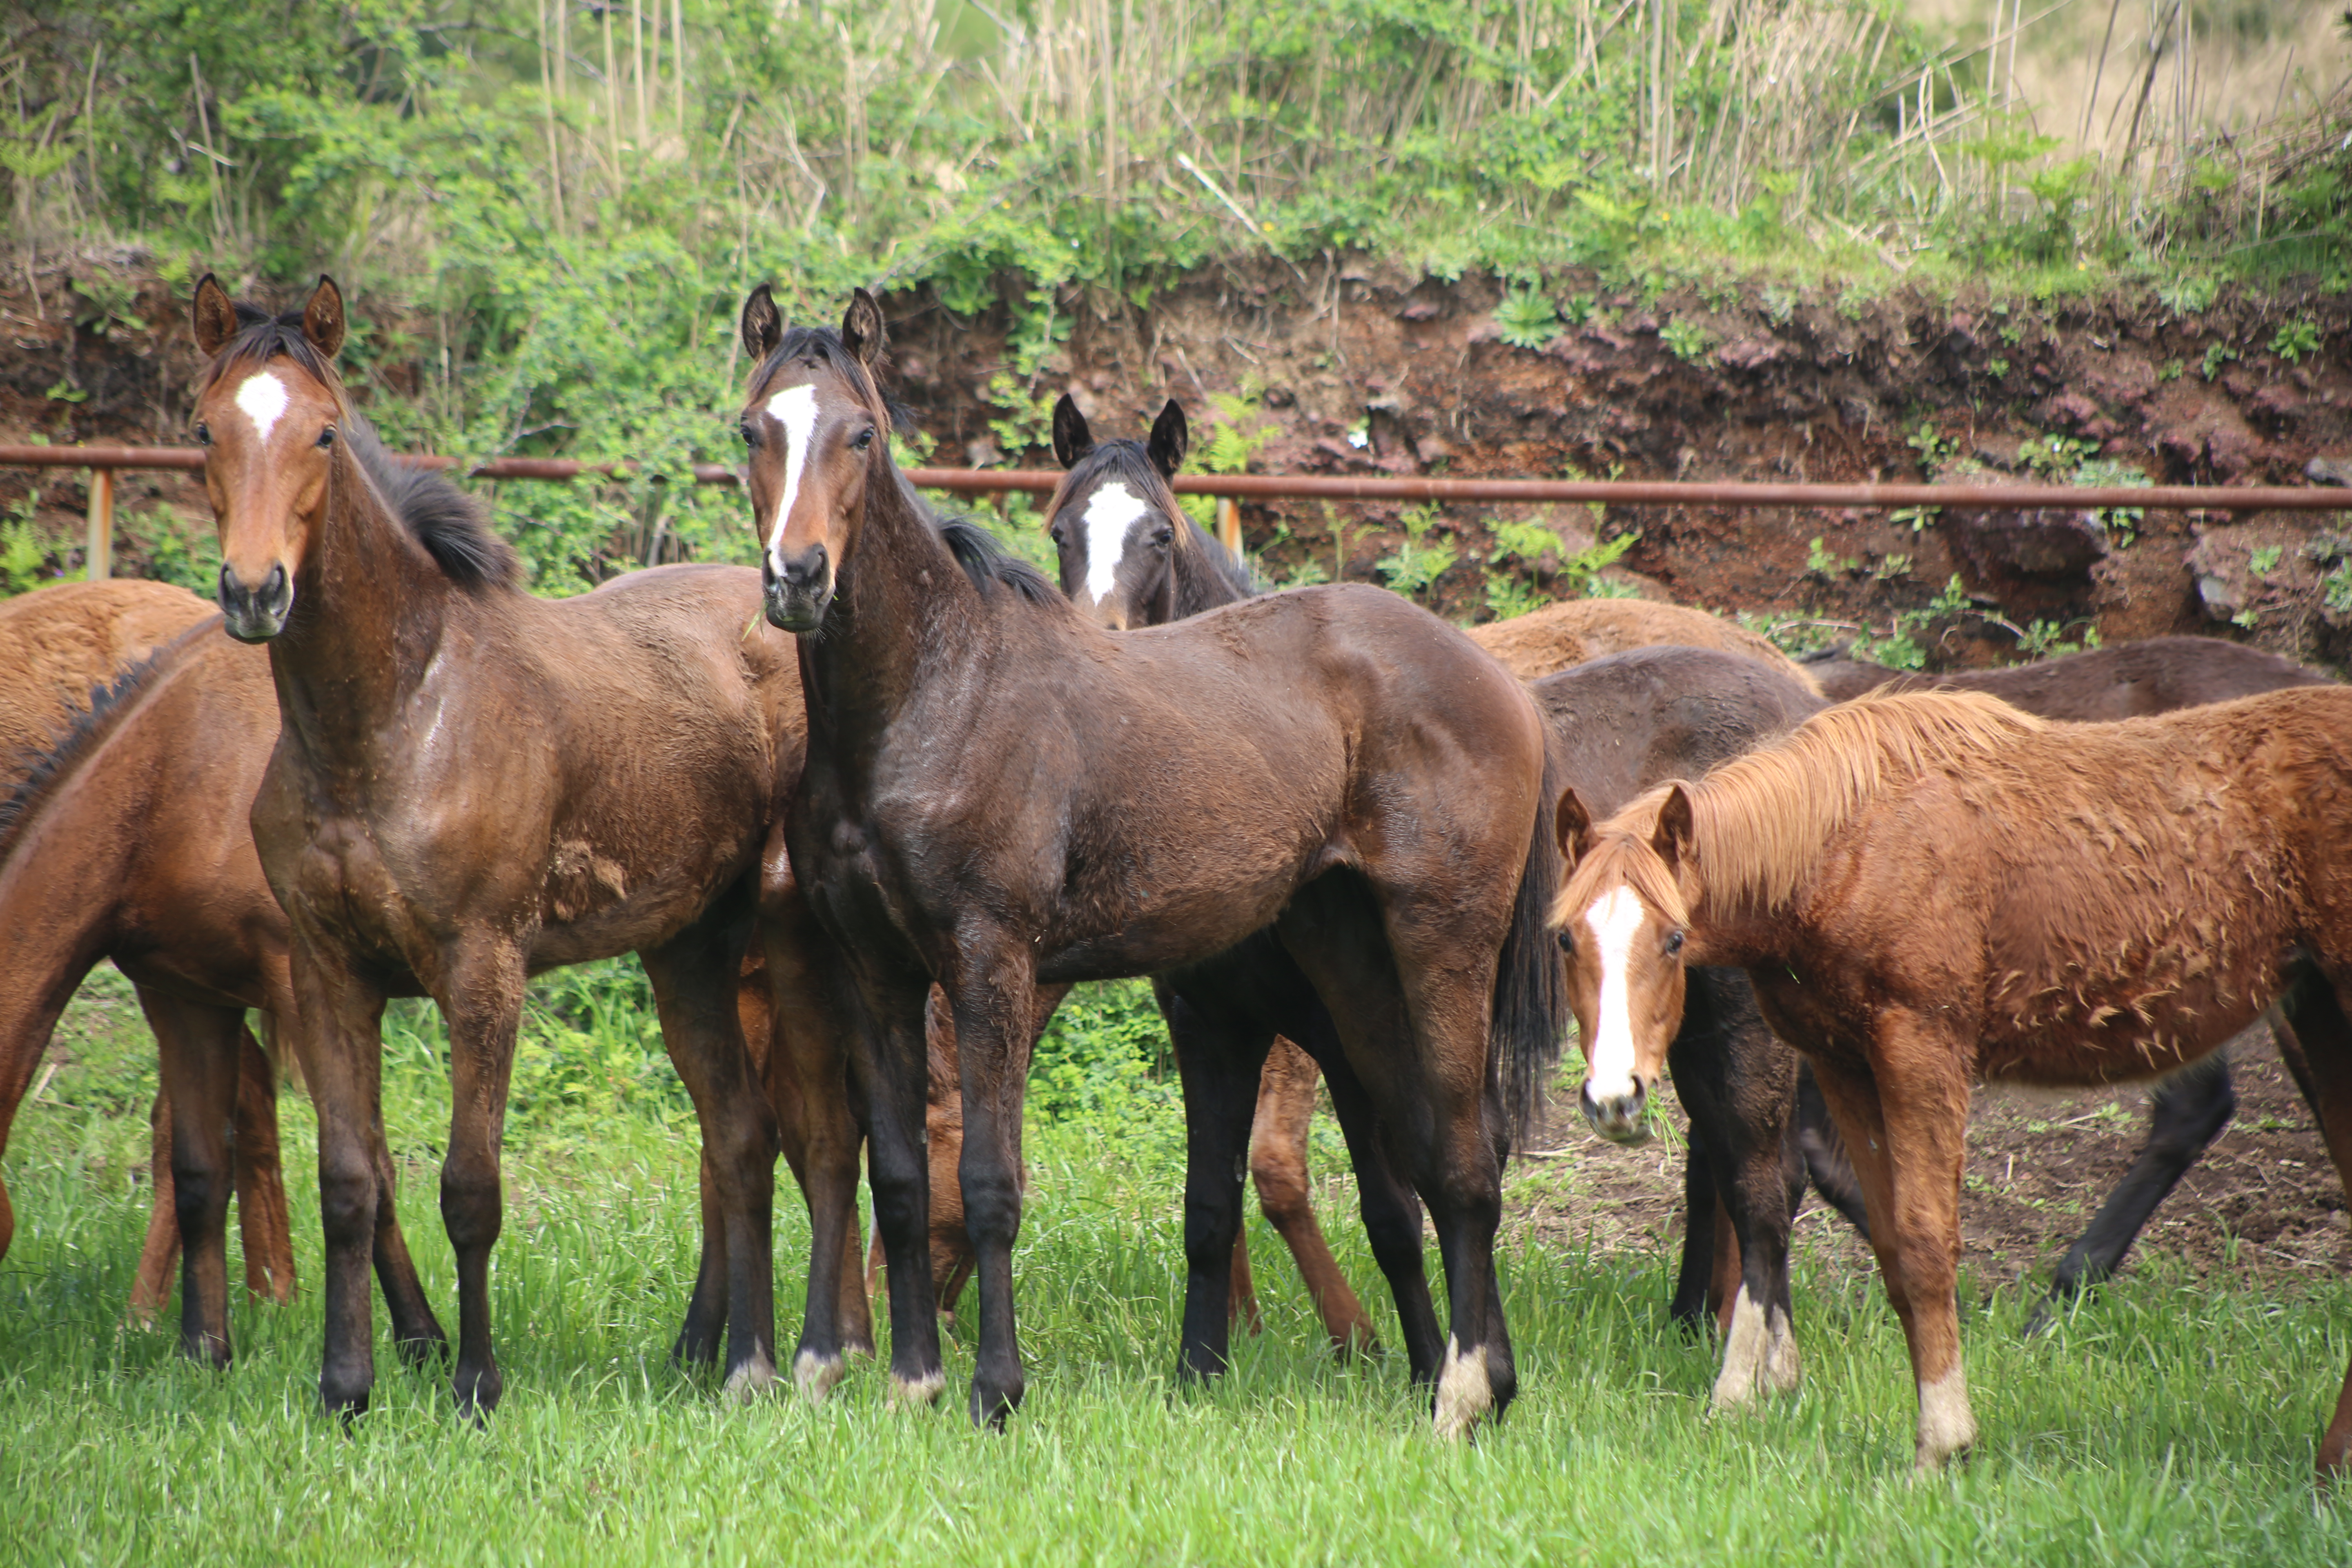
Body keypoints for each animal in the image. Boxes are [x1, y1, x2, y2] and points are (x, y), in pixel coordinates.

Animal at [186, 276, 809, 1420]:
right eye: (207, 429)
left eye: (324, 432)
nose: (255, 591)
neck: (387, 721)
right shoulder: (329, 972)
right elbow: (352, 1180)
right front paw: (346, 1385)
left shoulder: (482, 972)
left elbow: (469, 1188)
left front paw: (477, 1380)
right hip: (687, 951)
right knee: (739, 1137)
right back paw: (726, 1354)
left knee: (756, 1135)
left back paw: (751, 1355)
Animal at [743, 288, 1571, 1439]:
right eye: (754, 430)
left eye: (861, 434)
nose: (797, 577)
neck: (931, 696)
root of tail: (1498, 680)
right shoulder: (880, 973)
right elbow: (905, 1180)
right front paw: (914, 1381)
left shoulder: (991, 964)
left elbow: (990, 1182)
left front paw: (995, 1391)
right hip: (1354, 974)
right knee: (1421, 1153)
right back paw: (1467, 1376)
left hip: (1442, 948)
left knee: (1462, 1157)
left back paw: (1463, 1391)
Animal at [1552, 682, 2352, 1476]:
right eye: (1564, 937)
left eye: (1674, 939)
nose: (1614, 1097)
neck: (1842, 847)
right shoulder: (1845, 1064)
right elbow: (1892, 1249)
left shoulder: (1922, 1050)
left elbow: (1927, 1243)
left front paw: (1941, 1444)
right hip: (2317, 1014)